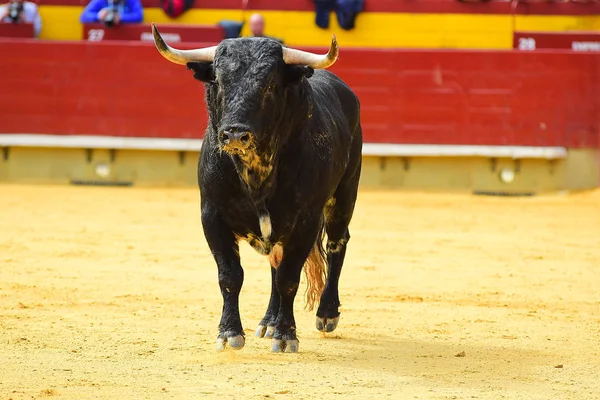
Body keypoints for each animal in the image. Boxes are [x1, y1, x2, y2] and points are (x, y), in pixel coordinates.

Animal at [152, 23, 364, 352]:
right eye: (220, 82)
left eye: (270, 86)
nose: (235, 134)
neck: (255, 172)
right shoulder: (211, 215)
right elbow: (230, 275)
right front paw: (229, 332)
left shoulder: (307, 219)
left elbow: (289, 277)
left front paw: (286, 335)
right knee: (276, 262)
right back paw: (269, 321)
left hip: (344, 195)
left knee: (336, 244)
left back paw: (326, 313)